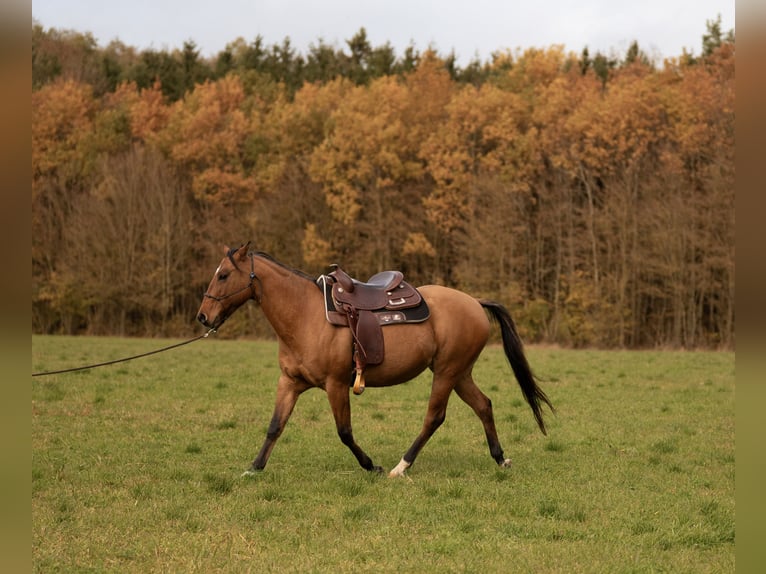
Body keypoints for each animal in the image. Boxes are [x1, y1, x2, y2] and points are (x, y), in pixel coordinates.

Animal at [196, 243, 554, 477]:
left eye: (224, 275)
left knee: (434, 417)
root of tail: (475, 303)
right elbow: (275, 426)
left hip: (447, 373)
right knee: (484, 406)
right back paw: (500, 459)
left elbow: (344, 432)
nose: (203, 316)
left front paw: (372, 465)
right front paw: (254, 468)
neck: (306, 316)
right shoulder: (290, 382)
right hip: (460, 373)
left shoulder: (335, 385)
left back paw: (401, 466)